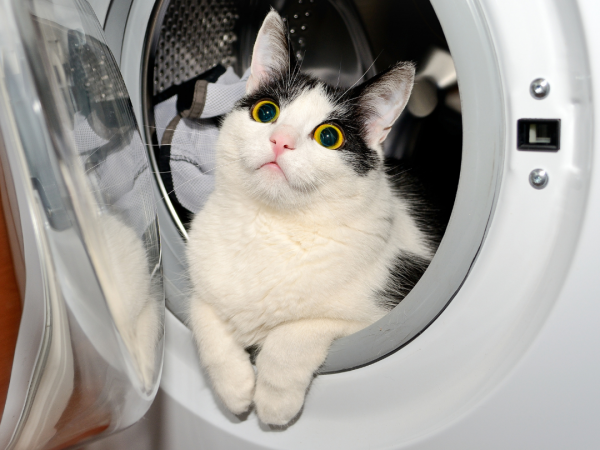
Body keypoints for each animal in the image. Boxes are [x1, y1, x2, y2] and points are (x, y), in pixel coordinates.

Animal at [188, 9, 440, 426]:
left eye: (329, 137)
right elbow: (201, 311)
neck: (270, 225)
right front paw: (235, 387)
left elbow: (298, 330)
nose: (281, 140)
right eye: (266, 112)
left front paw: (274, 400)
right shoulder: (203, 274)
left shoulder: (382, 313)